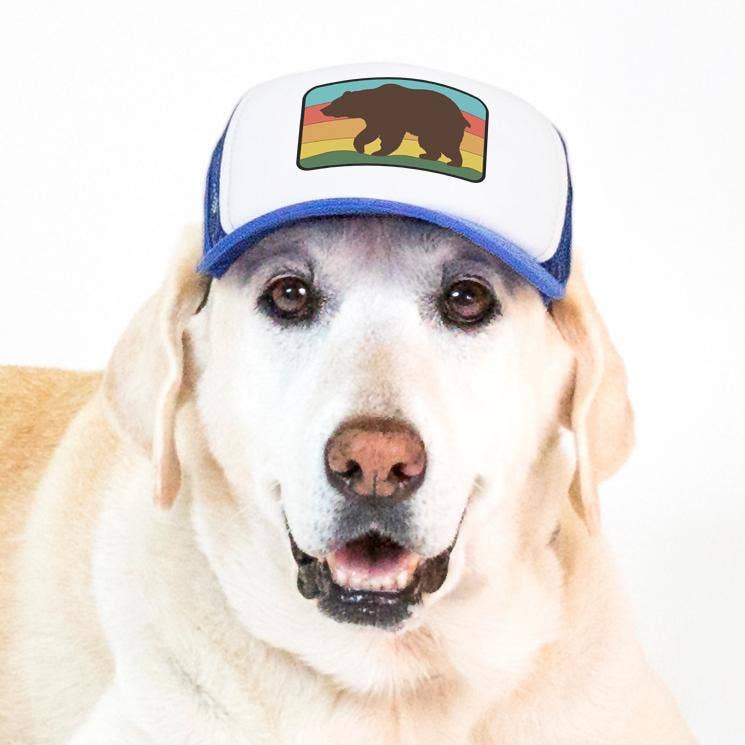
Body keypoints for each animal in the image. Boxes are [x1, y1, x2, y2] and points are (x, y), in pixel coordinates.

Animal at [320, 83, 470, 168]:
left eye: (334, 103)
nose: (323, 109)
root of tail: (462, 118)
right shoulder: (376, 118)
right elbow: (371, 132)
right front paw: (362, 147)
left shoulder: (392, 116)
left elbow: (389, 135)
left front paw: (377, 151)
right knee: (428, 143)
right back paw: (427, 155)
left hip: (443, 125)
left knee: (448, 145)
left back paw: (454, 163)